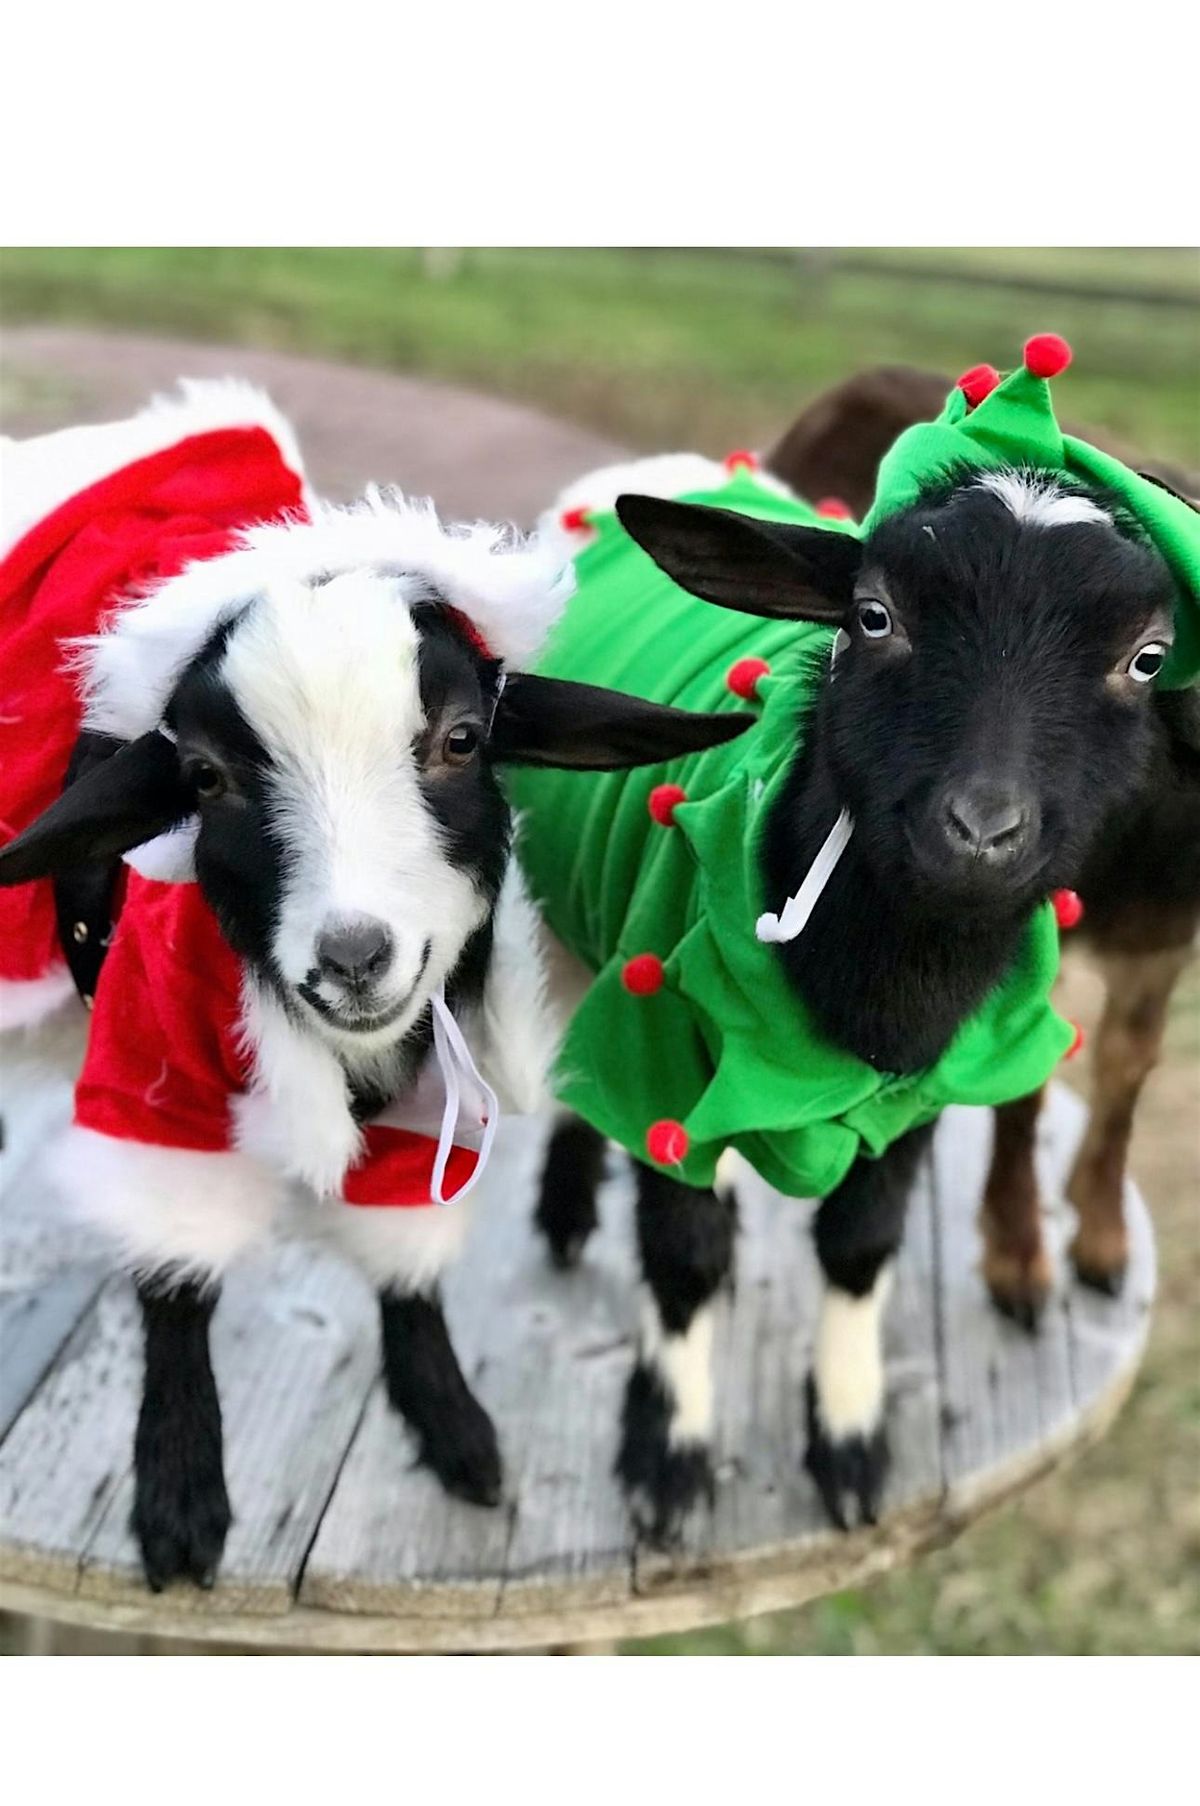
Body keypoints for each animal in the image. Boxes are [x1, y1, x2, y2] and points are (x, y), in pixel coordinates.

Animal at [0, 383, 747, 1589]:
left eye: (461, 741)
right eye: (204, 777)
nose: (353, 959)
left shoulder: (434, 1073)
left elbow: (409, 1268)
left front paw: (455, 1431)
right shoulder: (150, 1068)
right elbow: (175, 1282)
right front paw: (180, 1496)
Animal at [769, 365, 1200, 1323]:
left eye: (1149, 657)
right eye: (876, 616)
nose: (982, 828)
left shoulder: (1166, 933)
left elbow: (1128, 1068)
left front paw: (1101, 1238)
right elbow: (1027, 1087)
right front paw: (1019, 1260)